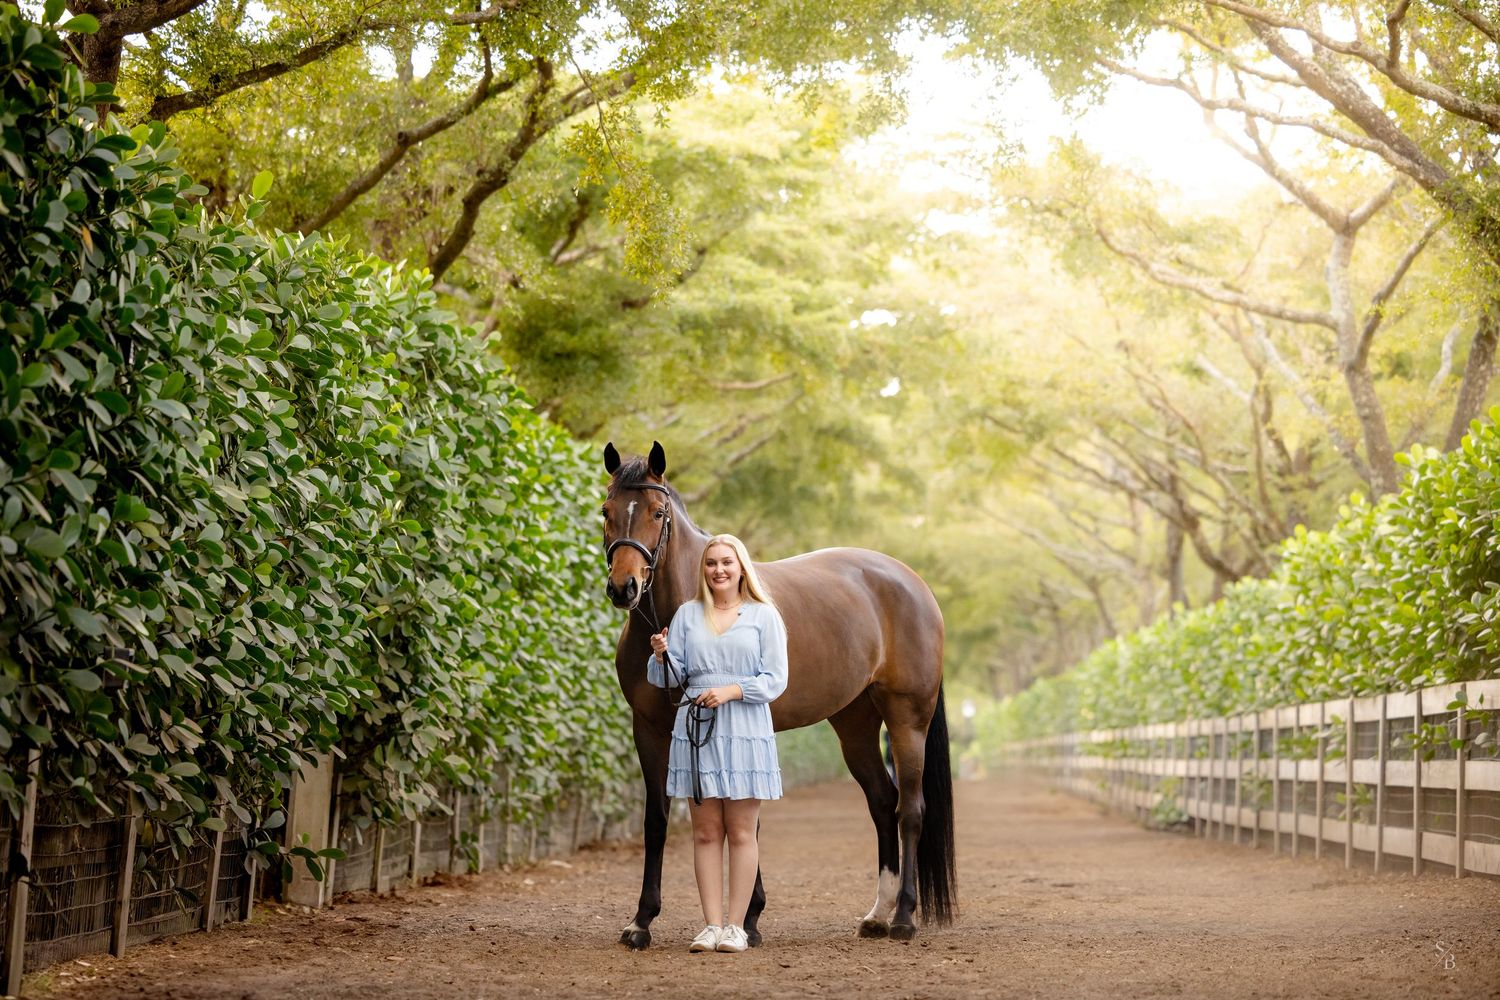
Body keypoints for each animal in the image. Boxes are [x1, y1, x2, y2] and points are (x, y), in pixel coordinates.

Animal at [601, 441, 955, 949]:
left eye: (657, 512)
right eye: (606, 511)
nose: (623, 587)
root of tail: (913, 585)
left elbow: (745, 819)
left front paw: (747, 919)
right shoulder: (649, 730)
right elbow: (658, 820)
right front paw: (642, 922)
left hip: (908, 720)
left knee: (910, 809)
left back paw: (904, 917)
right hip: (855, 725)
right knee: (882, 802)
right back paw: (877, 914)